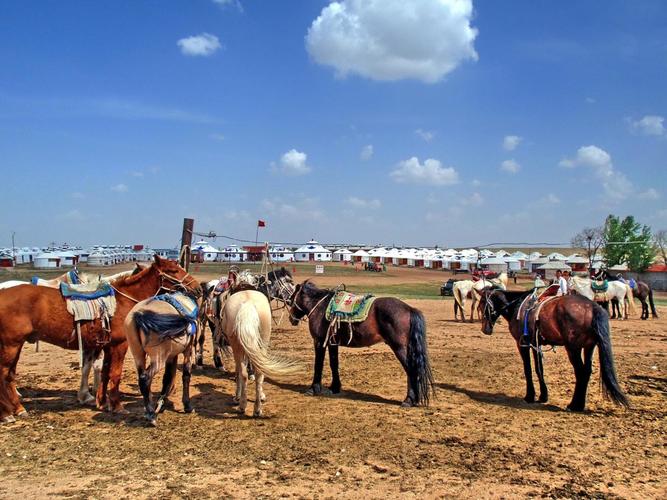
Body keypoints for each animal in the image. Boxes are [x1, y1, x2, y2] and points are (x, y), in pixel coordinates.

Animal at [0, 254, 200, 422]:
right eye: (173, 270)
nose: (197, 288)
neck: (124, 300)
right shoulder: (119, 345)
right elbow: (115, 374)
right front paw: (117, 406)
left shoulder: (106, 345)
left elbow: (104, 371)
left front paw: (102, 402)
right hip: (11, 345)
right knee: (4, 374)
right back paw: (8, 413)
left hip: (15, 345)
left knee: (9, 375)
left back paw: (16, 409)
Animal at [290, 280, 436, 408]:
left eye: (291, 298)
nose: (291, 319)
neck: (320, 306)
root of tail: (409, 309)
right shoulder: (332, 343)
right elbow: (334, 364)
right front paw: (334, 388)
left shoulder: (319, 341)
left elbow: (318, 365)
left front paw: (313, 389)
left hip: (399, 348)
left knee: (411, 370)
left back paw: (408, 400)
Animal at [482, 288, 628, 412]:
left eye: (482, 303)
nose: (485, 329)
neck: (517, 307)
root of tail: (593, 307)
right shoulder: (535, 344)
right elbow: (539, 369)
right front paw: (543, 396)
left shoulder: (522, 344)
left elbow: (528, 369)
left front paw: (529, 396)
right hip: (589, 347)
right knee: (586, 372)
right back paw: (579, 405)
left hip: (573, 349)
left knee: (580, 372)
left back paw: (574, 405)